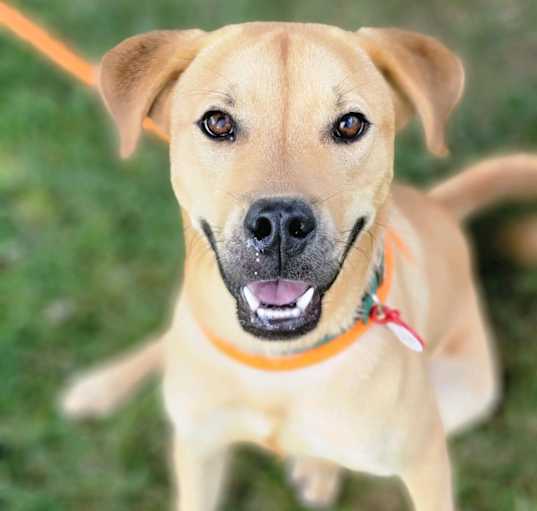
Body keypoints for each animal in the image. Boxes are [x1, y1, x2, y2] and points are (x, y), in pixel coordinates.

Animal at [60, 24, 536, 511]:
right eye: (218, 122)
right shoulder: (197, 447)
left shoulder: (425, 460)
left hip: (463, 394)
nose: (280, 225)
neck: (277, 369)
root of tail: (438, 206)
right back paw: (100, 385)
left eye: (350, 124)